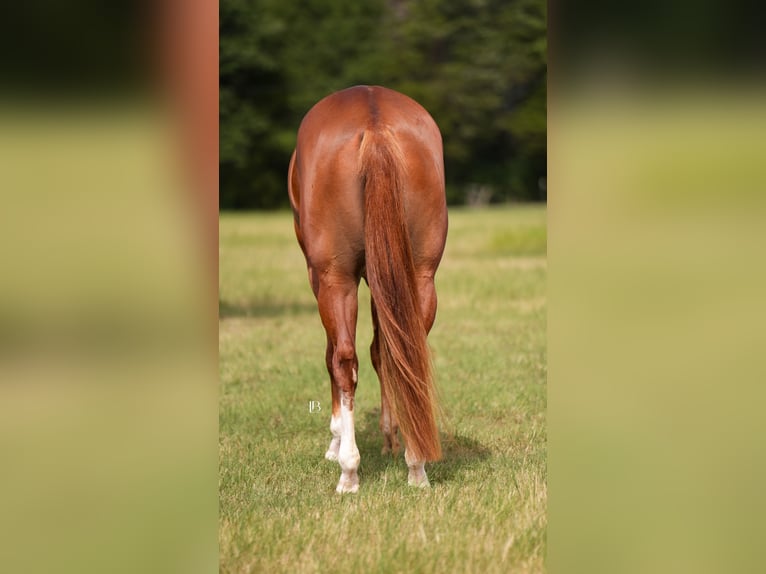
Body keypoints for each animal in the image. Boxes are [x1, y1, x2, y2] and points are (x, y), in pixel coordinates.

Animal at [287, 85, 448, 493]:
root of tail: (374, 123)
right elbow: (384, 351)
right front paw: (392, 436)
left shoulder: (320, 275)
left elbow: (334, 355)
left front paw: (335, 441)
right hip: (419, 275)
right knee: (403, 349)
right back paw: (416, 464)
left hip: (335, 278)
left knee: (343, 359)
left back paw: (349, 470)